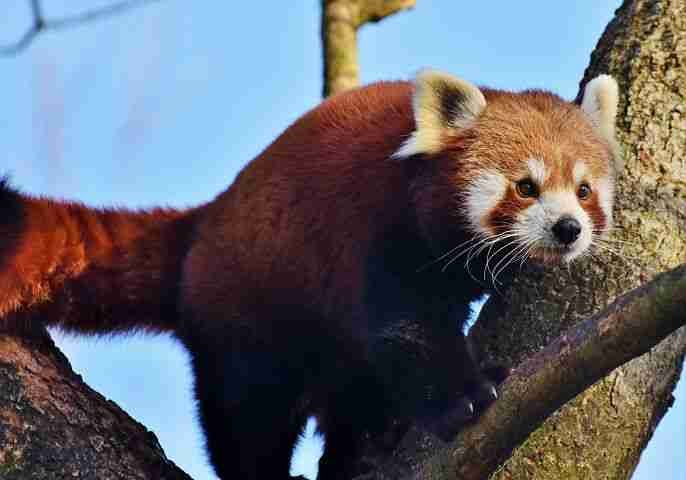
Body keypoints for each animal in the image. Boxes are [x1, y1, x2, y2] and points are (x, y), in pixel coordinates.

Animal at [0, 71, 620, 480]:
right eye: (526, 187)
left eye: (584, 190)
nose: (568, 229)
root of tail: (207, 224)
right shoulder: (380, 234)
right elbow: (407, 330)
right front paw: (463, 398)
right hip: (250, 314)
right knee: (247, 412)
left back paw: (363, 445)